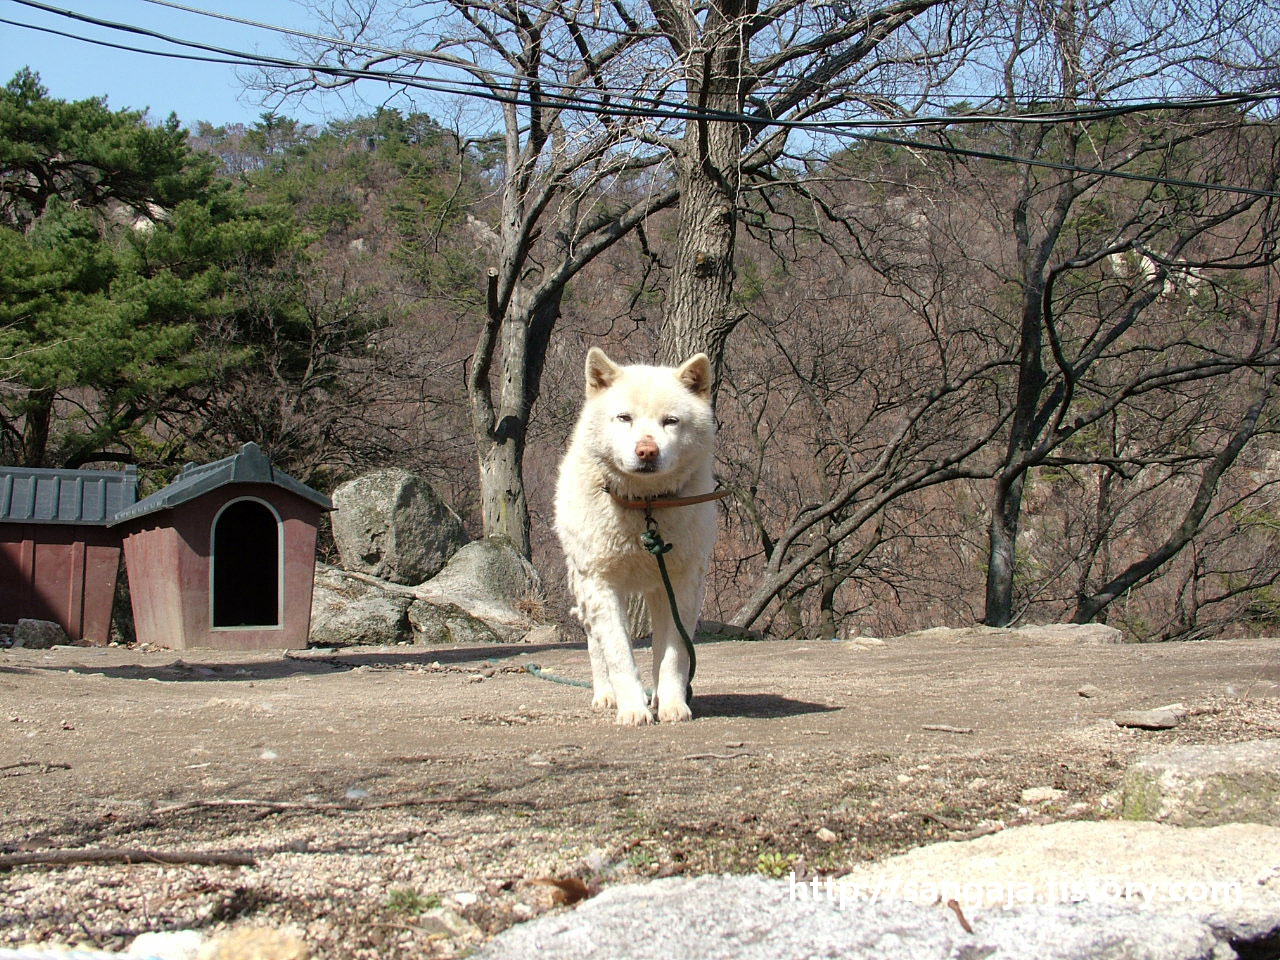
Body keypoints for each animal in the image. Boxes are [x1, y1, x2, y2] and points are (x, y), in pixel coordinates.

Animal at [555, 350, 721, 727]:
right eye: (624, 418)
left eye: (670, 421)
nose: (647, 451)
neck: (644, 506)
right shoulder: (602, 586)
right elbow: (618, 655)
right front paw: (633, 709)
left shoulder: (681, 586)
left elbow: (673, 654)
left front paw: (673, 705)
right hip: (584, 588)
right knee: (595, 647)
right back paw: (606, 696)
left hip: (656, 591)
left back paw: (658, 697)